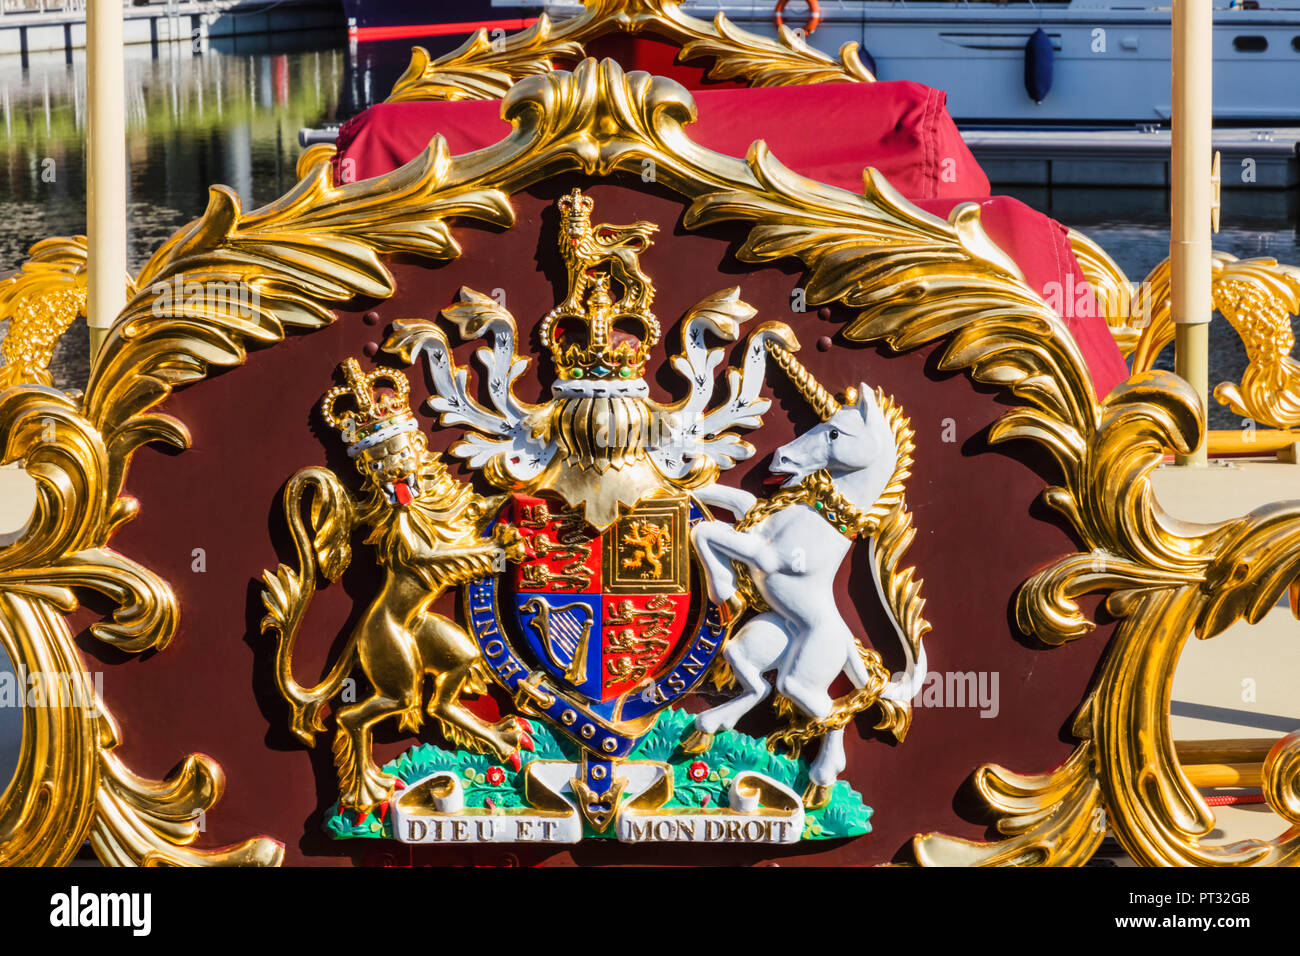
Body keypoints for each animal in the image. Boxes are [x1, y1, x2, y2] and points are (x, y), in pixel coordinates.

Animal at [258, 358, 527, 816]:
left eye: (401, 453)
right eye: (379, 464)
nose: (397, 473)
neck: (416, 502)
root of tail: (361, 631)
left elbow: (474, 510)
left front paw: (504, 493)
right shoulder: (411, 541)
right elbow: (444, 556)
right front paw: (501, 546)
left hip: (435, 640)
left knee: (442, 694)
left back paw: (500, 738)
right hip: (393, 661)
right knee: (352, 717)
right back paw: (368, 792)